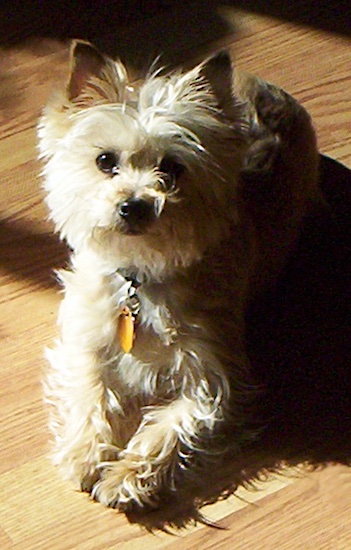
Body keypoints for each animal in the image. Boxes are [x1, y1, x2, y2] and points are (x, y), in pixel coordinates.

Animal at [38, 42, 322, 528]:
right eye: (104, 161)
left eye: (172, 168)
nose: (135, 205)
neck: (141, 277)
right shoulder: (86, 335)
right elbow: (89, 388)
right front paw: (86, 453)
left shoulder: (214, 375)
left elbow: (174, 425)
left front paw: (127, 477)